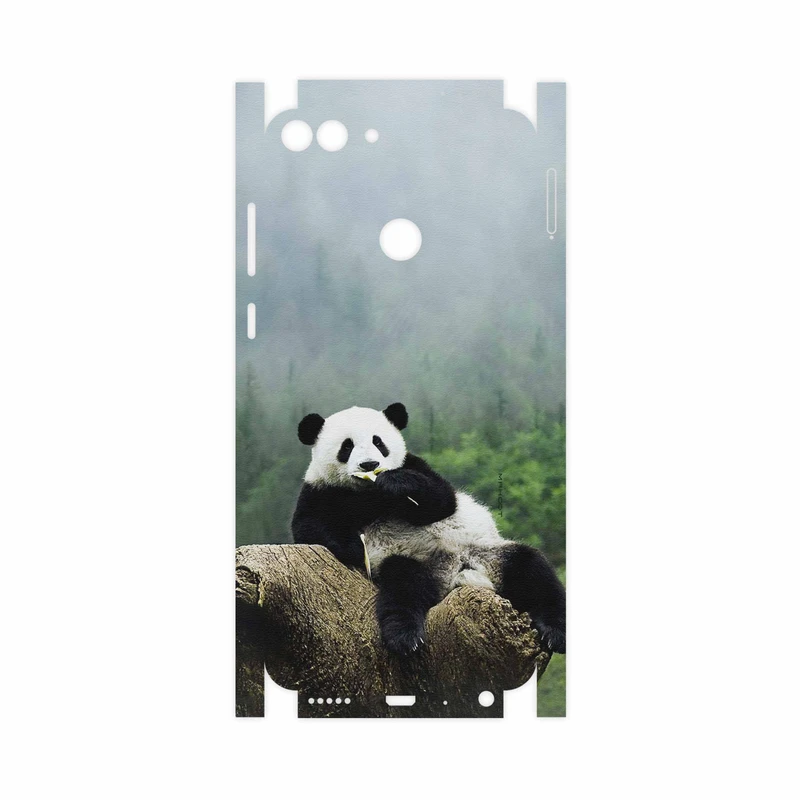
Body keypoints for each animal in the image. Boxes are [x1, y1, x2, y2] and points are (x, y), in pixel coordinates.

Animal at [292, 402, 566, 655]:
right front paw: (354, 547)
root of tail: (457, 574)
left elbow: (442, 500)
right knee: (403, 586)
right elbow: (309, 527)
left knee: (532, 570)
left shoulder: (415, 465)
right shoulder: (320, 491)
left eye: (378, 442)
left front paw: (395, 483)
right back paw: (405, 637)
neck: (368, 494)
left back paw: (556, 632)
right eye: (346, 446)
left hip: (489, 553)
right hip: (414, 562)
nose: (370, 464)